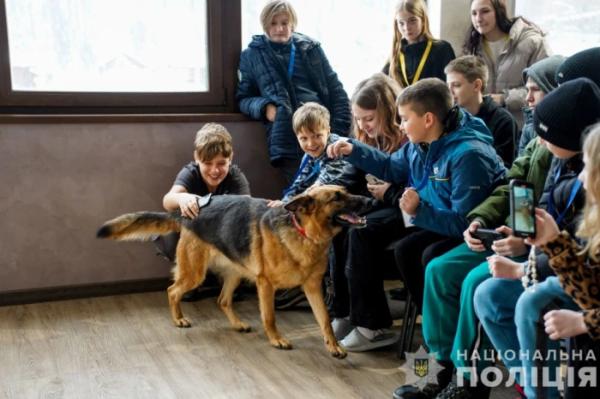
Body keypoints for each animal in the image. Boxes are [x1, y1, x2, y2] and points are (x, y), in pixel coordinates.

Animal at [96, 187, 370, 360]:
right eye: (337, 197)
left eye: (346, 191)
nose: (369, 200)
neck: (302, 231)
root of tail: (186, 213)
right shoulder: (265, 285)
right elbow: (270, 317)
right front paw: (276, 340)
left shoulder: (313, 287)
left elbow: (324, 320)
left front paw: (333, 346)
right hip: (194, 273)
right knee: (173, 290)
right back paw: (179, 319)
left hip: (235, 274)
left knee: (222, 300)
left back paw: (237, 324)